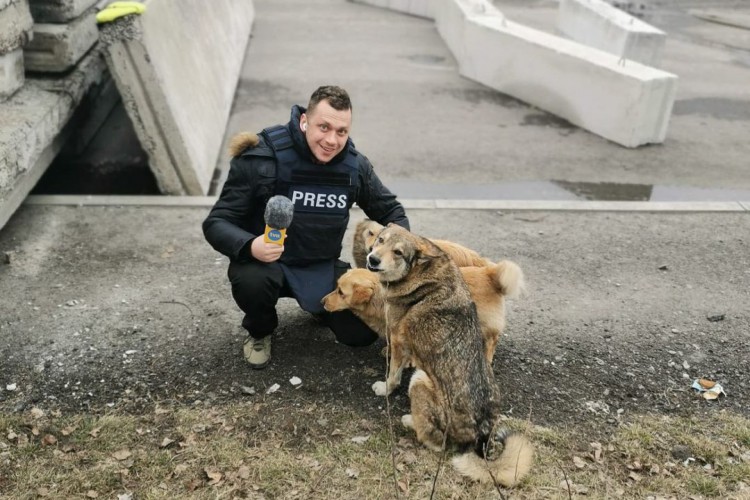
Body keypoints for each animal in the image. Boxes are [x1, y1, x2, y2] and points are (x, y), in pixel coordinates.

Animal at [322, 262, 524, 364]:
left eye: (341, 292)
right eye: (336, 287)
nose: (321, 302)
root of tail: (488, 272)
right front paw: (388, 350)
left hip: (483, 322)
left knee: (492, 340)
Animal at [366, 225, 536, 486]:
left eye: (398, 252)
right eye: (380, 240)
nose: (372, 259)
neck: (419, 271)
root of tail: (478, 438)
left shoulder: (397, 338)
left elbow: (393, 374)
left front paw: (385, 388)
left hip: (420, 380)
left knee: (433, 441)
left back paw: (409, 421)